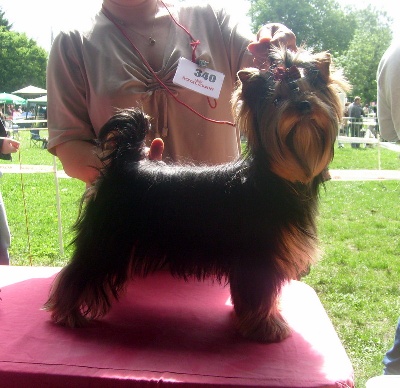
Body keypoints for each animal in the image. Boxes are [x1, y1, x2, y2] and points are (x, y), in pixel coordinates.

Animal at [43, 46, 348, 342]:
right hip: (108, 241)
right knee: (79, 273)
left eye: (312, 90)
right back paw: (68, 314)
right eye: (277, 100)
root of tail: (125, 161)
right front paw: (266, 327)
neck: (278, 178)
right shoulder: (257, 258)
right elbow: (259, 297)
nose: (304, 105)